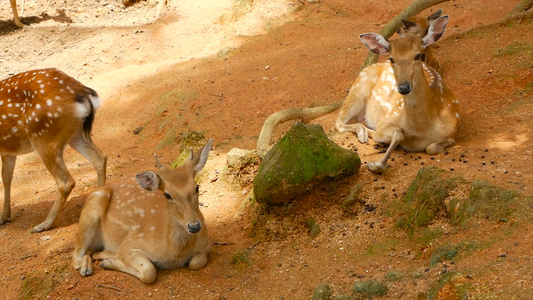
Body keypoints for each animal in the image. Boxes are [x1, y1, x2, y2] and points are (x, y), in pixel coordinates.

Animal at [0, 68, 108, 232]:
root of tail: (82, 93)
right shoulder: (9, 151)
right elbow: (6, 178)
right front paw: (4, 217)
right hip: (75, 134)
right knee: (99, 158)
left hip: (44, 138)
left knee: (66, 182)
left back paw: (44, 225)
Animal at [72, 139, 212, 284]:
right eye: (167, 195)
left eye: (197, 187)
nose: (194, 226)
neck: (176, 252)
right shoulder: (131, 242)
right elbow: (148, 272)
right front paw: (110, 262)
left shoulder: (206, 244)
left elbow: (196, 262)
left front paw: (109, 260)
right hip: (93, 206)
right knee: (77, 256)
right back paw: (90, 267)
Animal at [336, 15, 458, 172]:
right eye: (391, 58)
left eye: (418, 56)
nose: (404, 87)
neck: (422, 130)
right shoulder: (386, 122)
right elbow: (397, 134)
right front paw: (374, 164)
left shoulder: (454, 130)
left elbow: (433, 148)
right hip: (359, 86)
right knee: (339, 122)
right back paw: (364, 134)